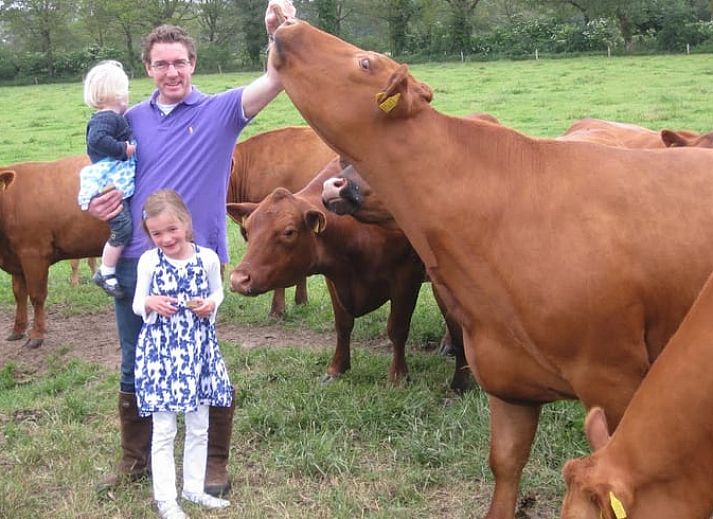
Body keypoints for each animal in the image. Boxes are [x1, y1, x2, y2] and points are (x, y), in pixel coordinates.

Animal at [0, 156, 108, 348]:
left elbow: (36, 296)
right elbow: (19, 295)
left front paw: (36, 335)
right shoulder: (16, 259)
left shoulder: (34, 254)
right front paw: (17, 330)